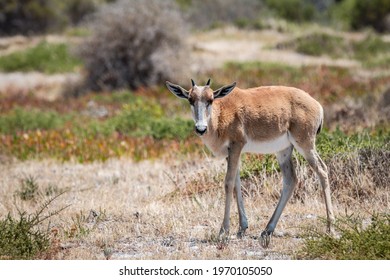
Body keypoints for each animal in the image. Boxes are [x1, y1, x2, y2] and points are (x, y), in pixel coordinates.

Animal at [165, 79, 336, 247]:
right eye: (190, 99)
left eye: (211, 99)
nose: (201, 128)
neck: (222, 111)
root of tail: (316, 104)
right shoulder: (231, 154)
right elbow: (236, 183)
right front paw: (241, 229)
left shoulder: (236, 147)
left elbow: (228, 183)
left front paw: (223, 232)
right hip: (284, 150)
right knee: (291, 179)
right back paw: (267, 231)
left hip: (305, 145)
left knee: (322, 170)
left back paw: (331, 229)